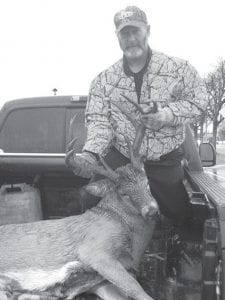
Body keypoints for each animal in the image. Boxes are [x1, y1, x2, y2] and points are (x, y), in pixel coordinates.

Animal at [0, 96, 158, 300]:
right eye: (124, 193)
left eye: (147, 183)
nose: (152, 210)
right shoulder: (96, 252)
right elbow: (137, 290)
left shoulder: (100, 282)